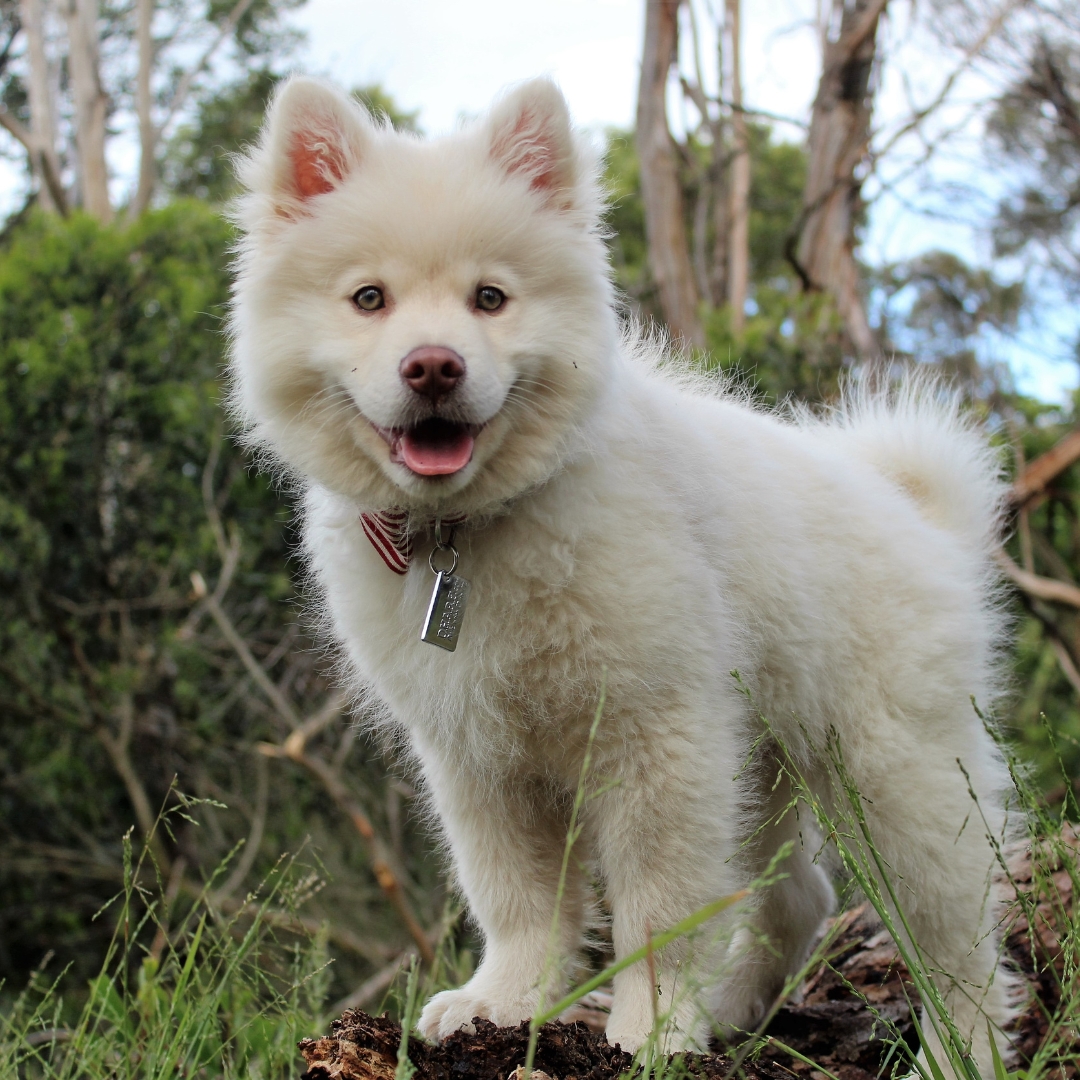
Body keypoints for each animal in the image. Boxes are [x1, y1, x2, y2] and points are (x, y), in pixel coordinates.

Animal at [227, 76, 1010, 1071]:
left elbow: (657, 909)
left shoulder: (656, 735)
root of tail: (926, 521)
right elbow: (517, 900)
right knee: (800, 899)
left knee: (959, 943)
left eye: (490, 298)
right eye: (369, 298)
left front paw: (653, 1028)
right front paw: (503, 1004)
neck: (471, 534)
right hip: (762, 760)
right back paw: (736, 1009)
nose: (433, 366)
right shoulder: (479, 756)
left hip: (897, 774)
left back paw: (961, 1053)